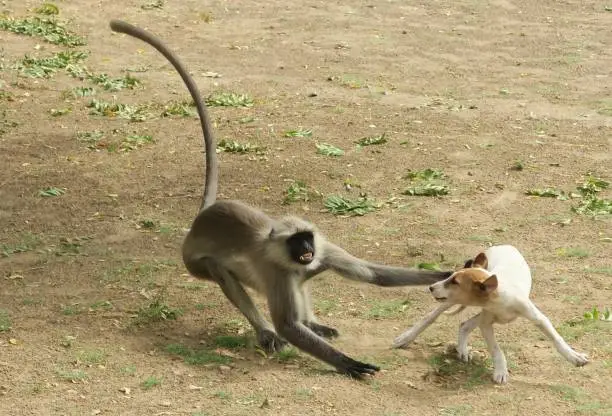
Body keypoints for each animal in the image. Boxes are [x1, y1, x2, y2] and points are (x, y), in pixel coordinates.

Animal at [110, 18, 454, 376]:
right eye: (295, 241)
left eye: (306, 238)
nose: (305, 249)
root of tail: (200, 220)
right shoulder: (278, 271)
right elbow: (288, 325)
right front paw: (349, 363)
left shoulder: (322, 250)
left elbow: (373, 274)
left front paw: (450, 273)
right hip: (195, 263)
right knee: (225, 275)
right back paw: (265, 331)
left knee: (305, 279)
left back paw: (312, 323)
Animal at [392, 245, 588, 386]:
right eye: (451, 276)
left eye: (455, 281)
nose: (431, 287)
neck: (500, 298)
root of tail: (504, 245)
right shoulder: (486, 324)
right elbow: (496, 349)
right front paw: (500, 371)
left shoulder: (538, 318)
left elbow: (557, 339)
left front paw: (574, 357)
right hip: (451, 302)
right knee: (431, 317)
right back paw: (406, 337)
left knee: (464, 324)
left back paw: (462, 349)